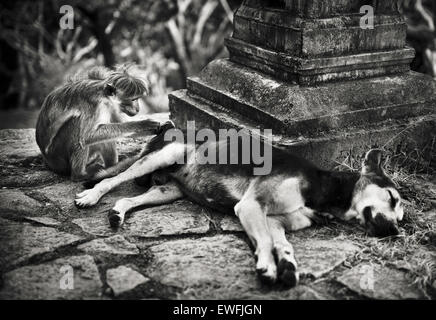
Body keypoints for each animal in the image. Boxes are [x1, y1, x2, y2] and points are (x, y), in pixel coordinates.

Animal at [76, 124, 406, 286]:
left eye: (401, 217)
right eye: (392, 198)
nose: (395, 232)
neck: (323, 187)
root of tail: (169, 127)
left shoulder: (276, 221)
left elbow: (282, 244)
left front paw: (287, 266)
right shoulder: (251, 207)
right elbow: (265, 242)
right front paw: (268, 266)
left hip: (170, 190)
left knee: (130, 197)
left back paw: (118, 212)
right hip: (161, 156)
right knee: (113, 180)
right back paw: (90, 196)